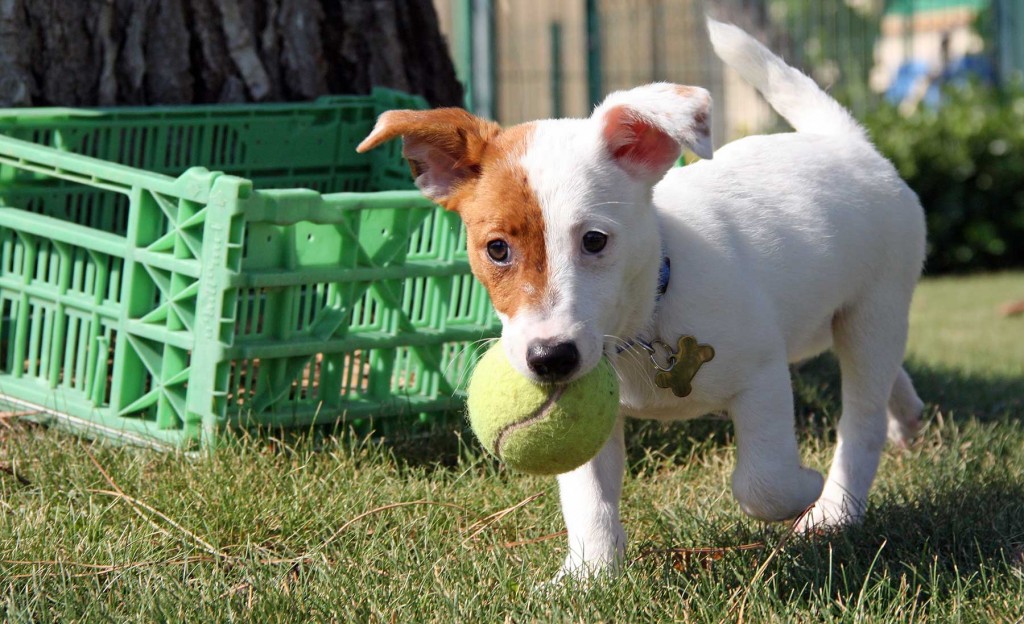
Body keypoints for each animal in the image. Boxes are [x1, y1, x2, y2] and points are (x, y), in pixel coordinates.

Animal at [360, 17, 929, 577]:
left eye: (595, 240)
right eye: (496, 249)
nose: (550, 359)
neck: (647, 315)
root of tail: (844, 142)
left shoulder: (762, 376)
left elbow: (762, 482)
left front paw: (807, 488)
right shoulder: (590, 414)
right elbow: (589, 500)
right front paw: (589, 575)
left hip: (873, 310)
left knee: (862, 417)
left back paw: (836, 508)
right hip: (821, 324)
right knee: (883, 380)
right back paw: (905, 416)